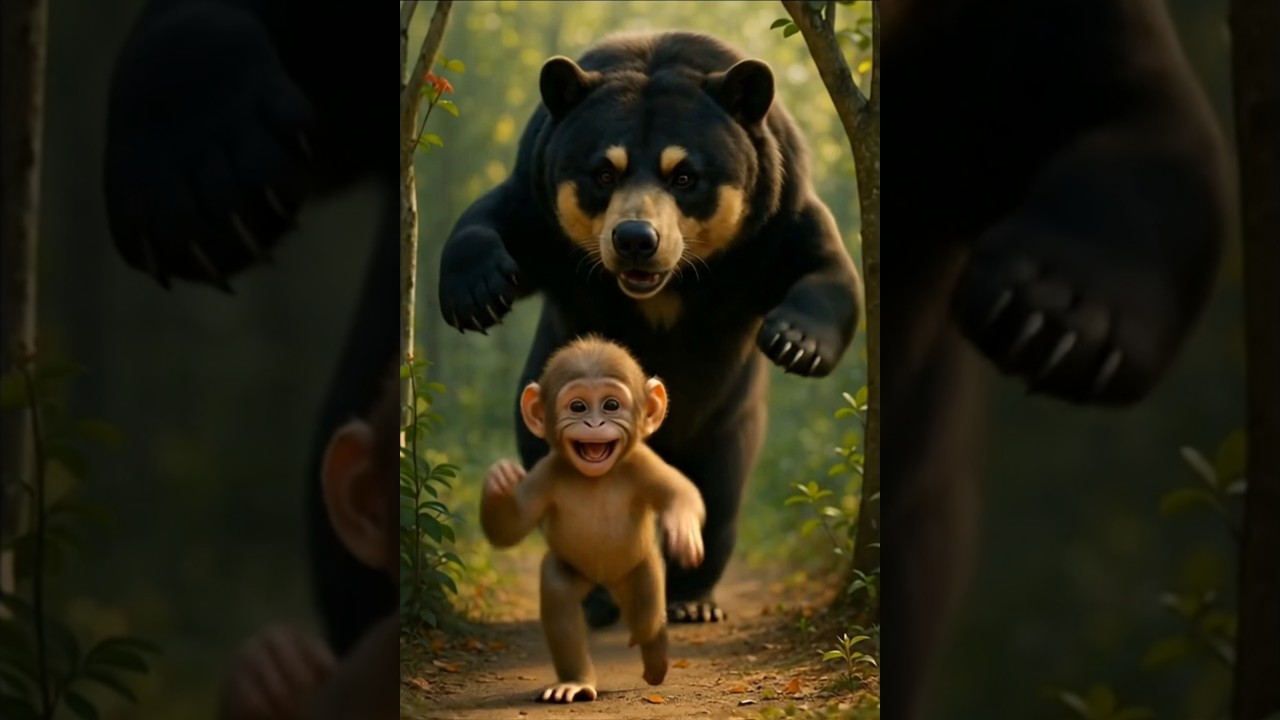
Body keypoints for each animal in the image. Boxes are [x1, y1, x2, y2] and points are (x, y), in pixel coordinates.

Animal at [437, 31, 863, 626]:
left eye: (684, 176)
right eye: (604, 173)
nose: (636, 238)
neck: (666, 288)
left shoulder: (774, 209)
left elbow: (825, 267)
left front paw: (794, 344)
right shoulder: (541, 197)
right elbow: (491, 219)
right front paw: (477, 295)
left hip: (728, 422)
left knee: (718, 495)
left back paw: (691, 600)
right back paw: (597, 598)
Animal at [479, 336, 707, 703]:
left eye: (611, 405)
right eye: (578, 407)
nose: (594, 423)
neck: (597, 477)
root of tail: (605, 580)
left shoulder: (642, 462)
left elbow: (680, 492)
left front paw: (683, 531)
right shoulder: (545, 473)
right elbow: (509, 528)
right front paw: (499, 484)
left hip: (638, 566)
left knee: (645, 605)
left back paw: (655, 653)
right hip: (577, 573)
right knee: (560, 594)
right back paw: (576, 682)